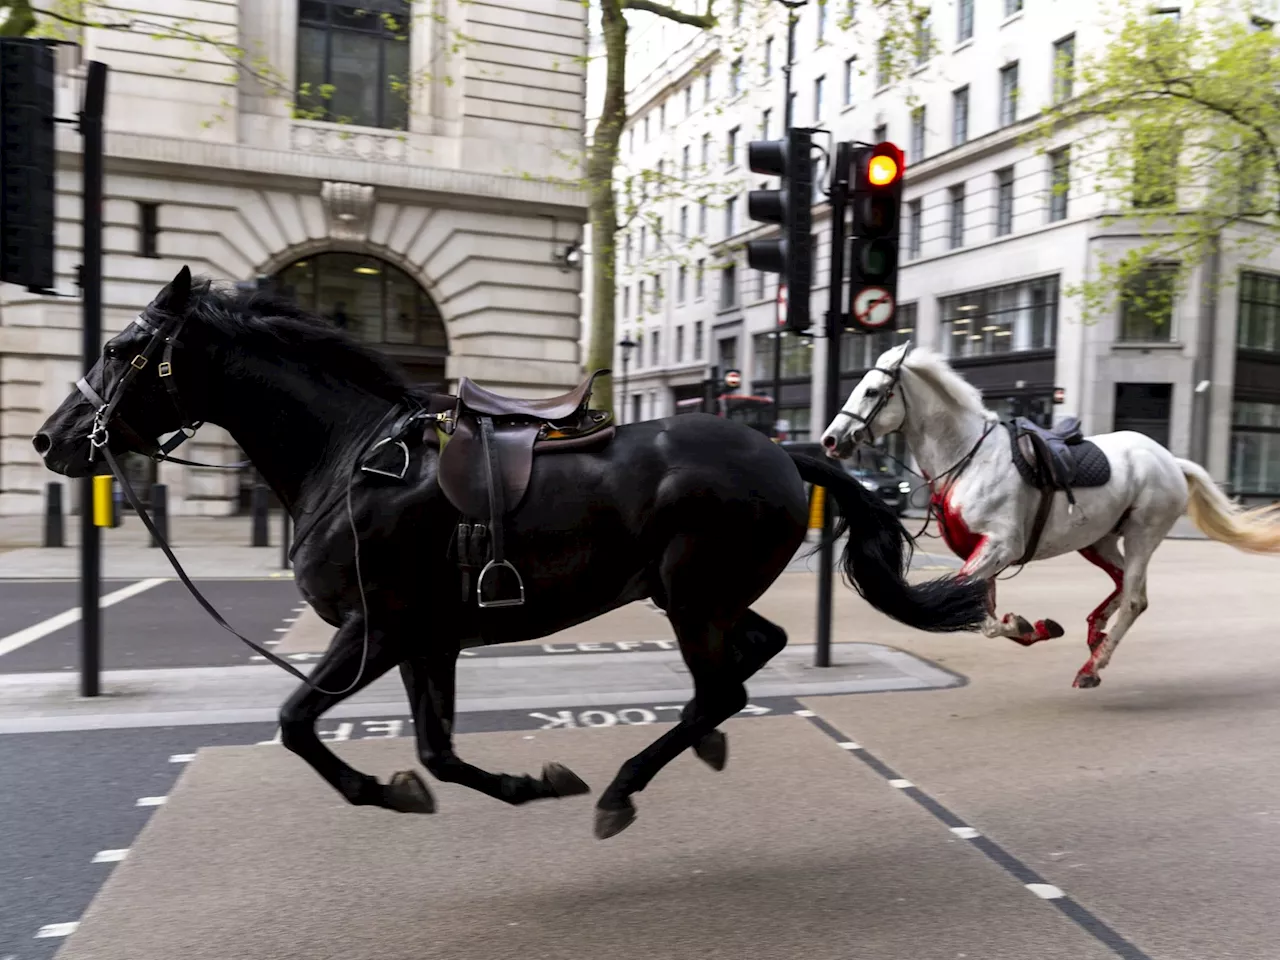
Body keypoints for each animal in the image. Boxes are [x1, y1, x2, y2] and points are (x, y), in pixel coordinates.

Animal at [35, 267, 983, 839]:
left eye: (121, 349)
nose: (51, 440)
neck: (351, 459)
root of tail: (784, 452)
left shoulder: (376, 629)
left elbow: (298, 722)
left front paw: (383, 790)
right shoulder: (427, 640)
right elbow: (437, 752)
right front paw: (520, 784)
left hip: (690, 595)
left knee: (723, 685)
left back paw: (625, 786)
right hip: (696, 594)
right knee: (753, 656)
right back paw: (695, 745)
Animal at [819, 343, 1280, 686]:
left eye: (873, 391)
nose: (830, 439)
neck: (970, 458)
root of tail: (1170, 459)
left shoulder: (1001, 545)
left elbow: (979, 614)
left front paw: (1025, 625)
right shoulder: (983, 551)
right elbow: (985, 614)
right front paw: (1032, 627)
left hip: (1142, 534)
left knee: (1134, 599)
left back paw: (1093, 665)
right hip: (1098, 540)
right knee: (1122, 585)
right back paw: (1095, 632)